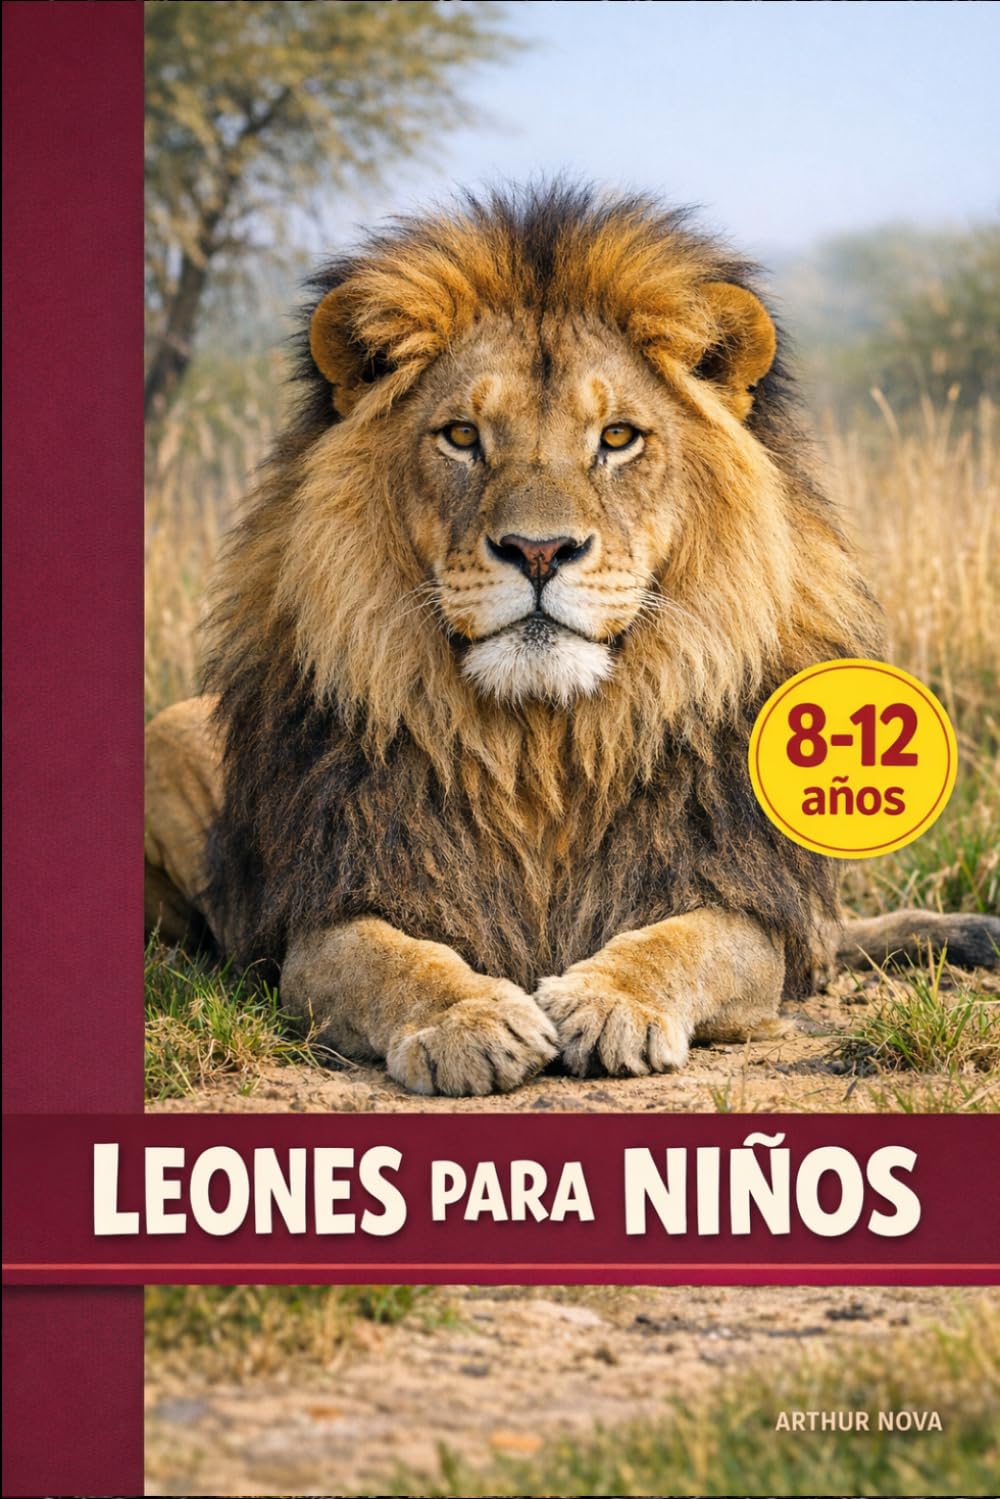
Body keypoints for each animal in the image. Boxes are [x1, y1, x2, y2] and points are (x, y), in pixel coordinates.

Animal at [145, 184, 998, 1096]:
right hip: (170, 731)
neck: (544, 747)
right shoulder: (326, 914)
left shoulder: (737, 901)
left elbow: (686, 939)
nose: (539, 550)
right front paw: (469, 1020)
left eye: (617, 437)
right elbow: (390, 957)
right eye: (462, 435)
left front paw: (611, 1001)